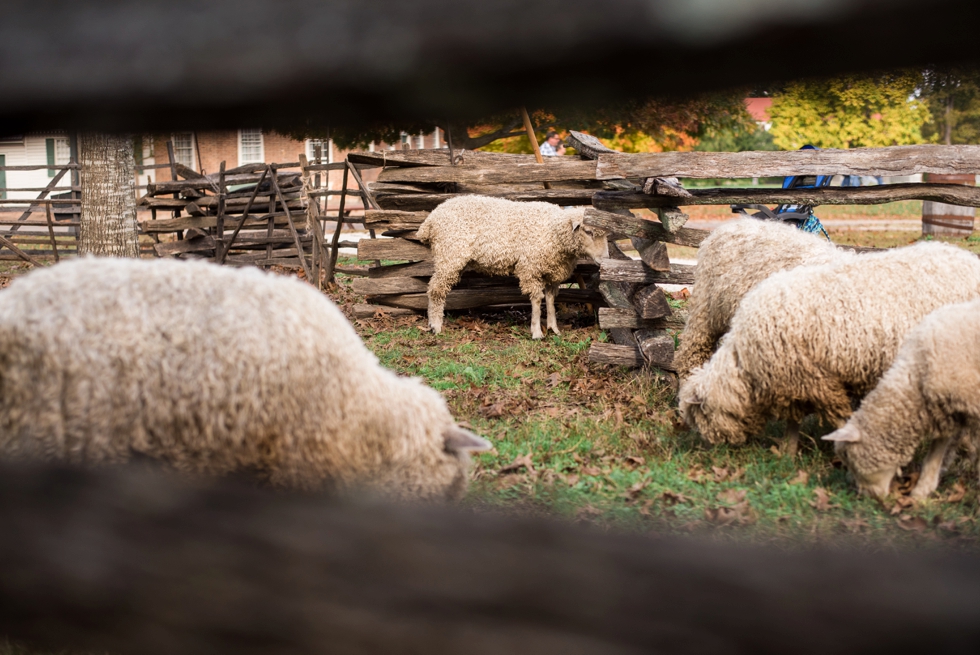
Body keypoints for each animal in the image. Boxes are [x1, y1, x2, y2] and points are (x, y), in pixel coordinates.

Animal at [416, 193, 612, 338]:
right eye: (588, 232)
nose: (605, 259)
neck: (553, 231)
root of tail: (431, 218)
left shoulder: (552, 272)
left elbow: (550, 300)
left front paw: (553, 328)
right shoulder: (530, 268)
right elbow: (537, 299)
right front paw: (536, 332)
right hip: (449, 255)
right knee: (436, 290)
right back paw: (435, 326)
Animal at [676, 242, 980, 456]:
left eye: (702, 416)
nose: (713, 448)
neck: (744, 364)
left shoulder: (819, 382)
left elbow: (840, 418)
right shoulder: (797, 383)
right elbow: (794, 421)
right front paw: (788, 453)